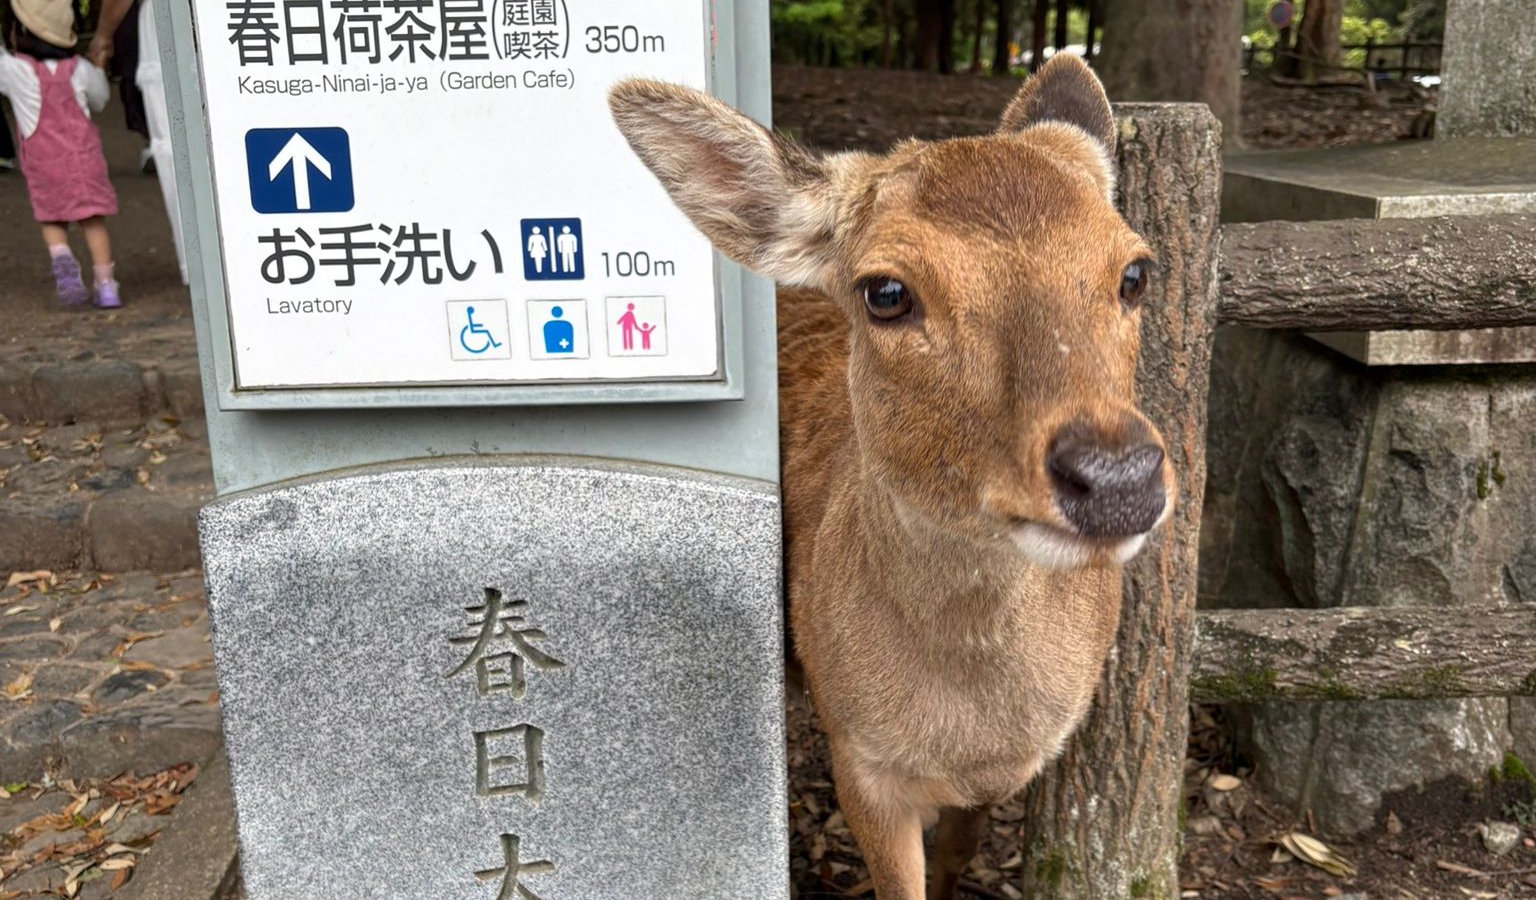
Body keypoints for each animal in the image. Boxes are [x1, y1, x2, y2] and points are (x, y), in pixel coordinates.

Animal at [609, 54, 1173, 900]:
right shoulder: (860, 761)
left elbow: (959, 851)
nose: (1117, 478)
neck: (968, 725)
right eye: (886, 292)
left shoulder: (1008, 769)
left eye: (1134, 271)